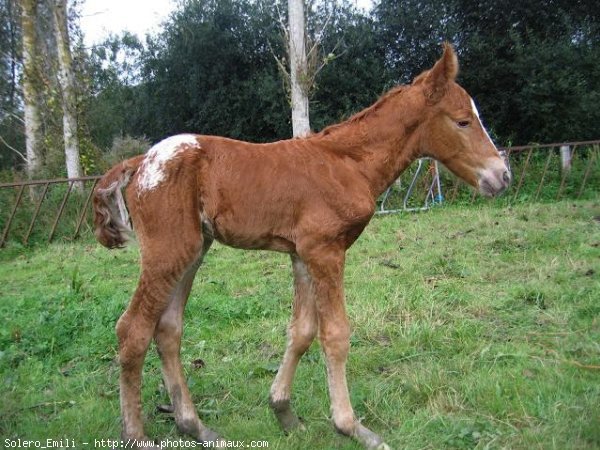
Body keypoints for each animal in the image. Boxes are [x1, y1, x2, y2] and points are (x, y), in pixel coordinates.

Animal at [95, 43, 510, 450]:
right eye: (463, 121)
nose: (502, 176)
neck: (348, 163)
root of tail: (139, 162)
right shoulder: (325, 251)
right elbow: (336, 334)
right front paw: (351, 426)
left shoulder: (302, 253)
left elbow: (302, 330)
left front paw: (283, 411)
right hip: (168, 251)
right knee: (133, 329)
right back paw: (136, 436)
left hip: (194, 250)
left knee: (167, 328)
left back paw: (195, 426)